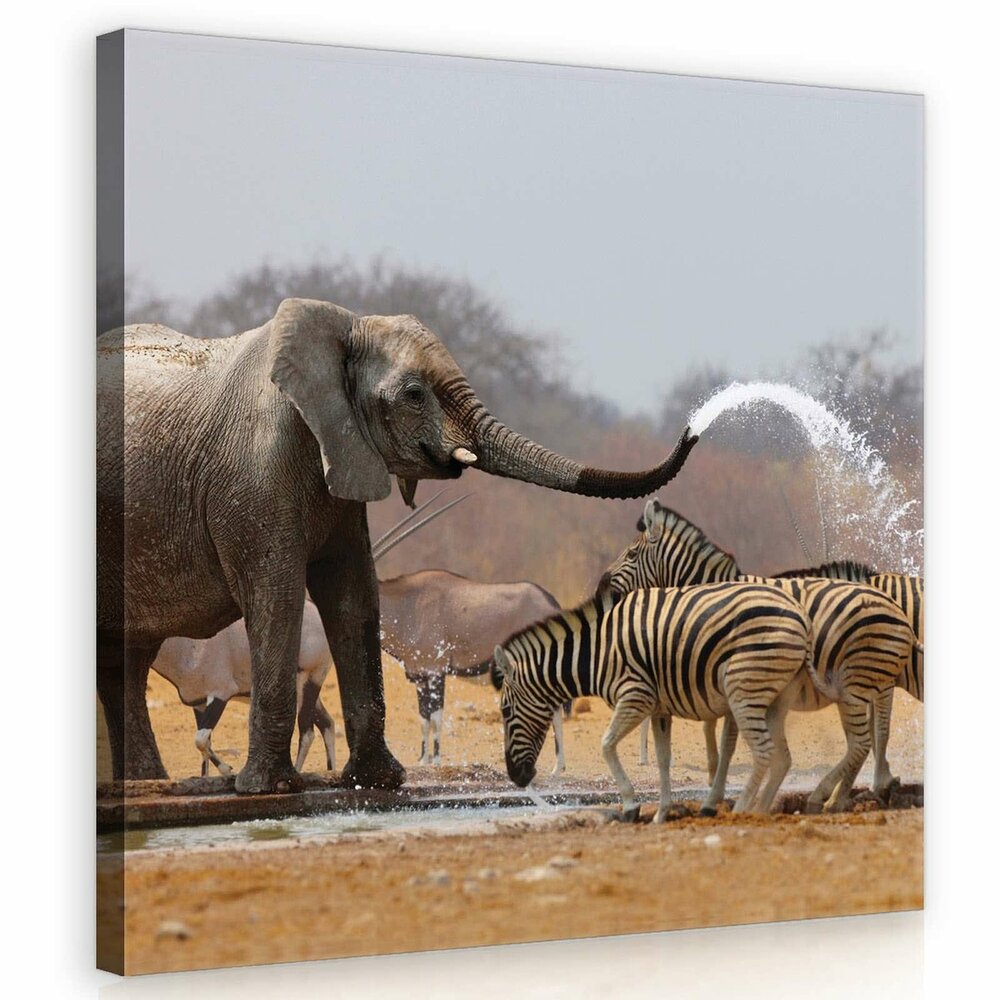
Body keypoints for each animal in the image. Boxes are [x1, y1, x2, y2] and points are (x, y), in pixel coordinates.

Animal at [96, 297, 698, 794]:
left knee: (126, 663)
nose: (694, 428)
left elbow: (353, 598)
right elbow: (280, 599)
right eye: (413, 394)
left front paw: (378, 780)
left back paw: (146, 785)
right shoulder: (254, 478)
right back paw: (150, 785)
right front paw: (270, 789)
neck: (342, 329)